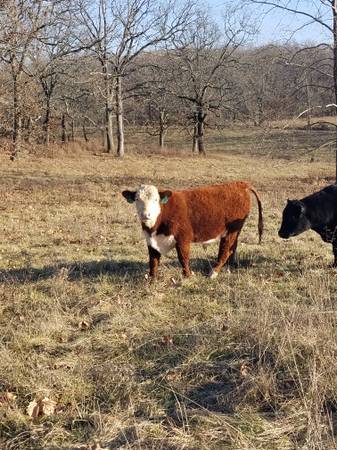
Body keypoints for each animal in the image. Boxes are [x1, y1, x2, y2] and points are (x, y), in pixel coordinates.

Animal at [122, 183, 264, 278]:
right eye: (137, 199)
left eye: (156, 200)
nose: (146, 215)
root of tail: (241, 184)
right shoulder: (151, 240)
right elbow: (153, 260)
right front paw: (152, 278)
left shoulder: (183, 238)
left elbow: (183, 258)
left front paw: (187, 276)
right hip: (233, 231)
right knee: (231, 248)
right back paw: (229, 266)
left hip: (232, 230)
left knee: (226, 250)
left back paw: (213, 272)